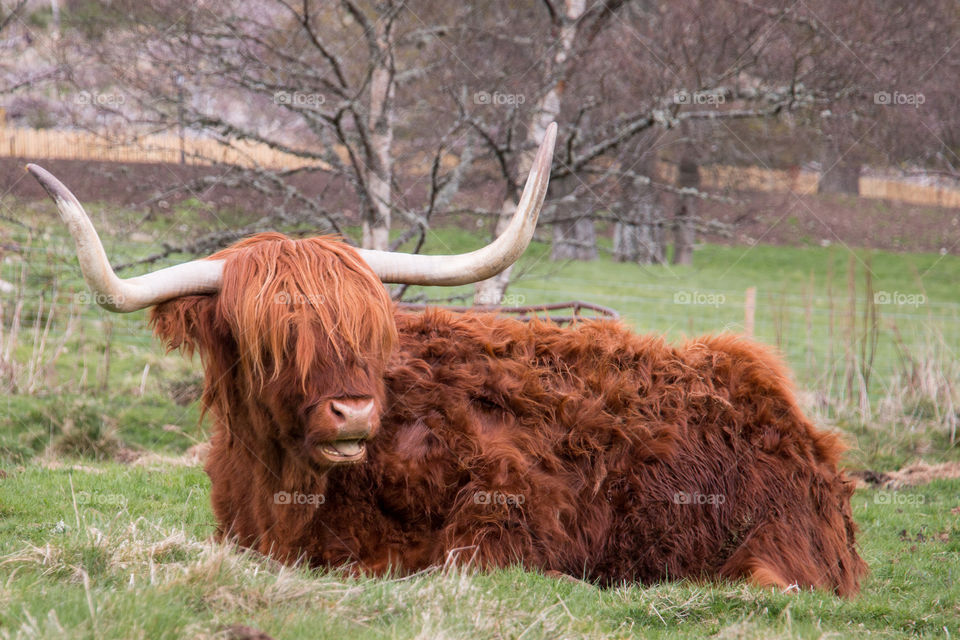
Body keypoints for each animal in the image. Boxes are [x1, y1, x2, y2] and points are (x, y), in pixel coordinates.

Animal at [26, 124, 868, 596]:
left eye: (369, 330)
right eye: (271, 339)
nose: (353, 409)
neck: (289, 491)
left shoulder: (511, 505)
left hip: (769, 541)